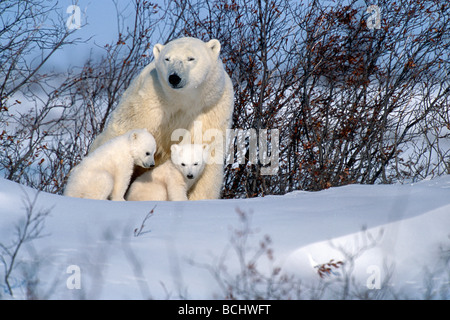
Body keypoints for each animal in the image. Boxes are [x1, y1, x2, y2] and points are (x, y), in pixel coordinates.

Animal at [89, 37, 234, 200]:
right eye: (167, 58)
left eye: (191, 58)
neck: (183, 102)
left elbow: (208, 151)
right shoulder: (151, 102)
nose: (174, 77)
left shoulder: (211, 109)